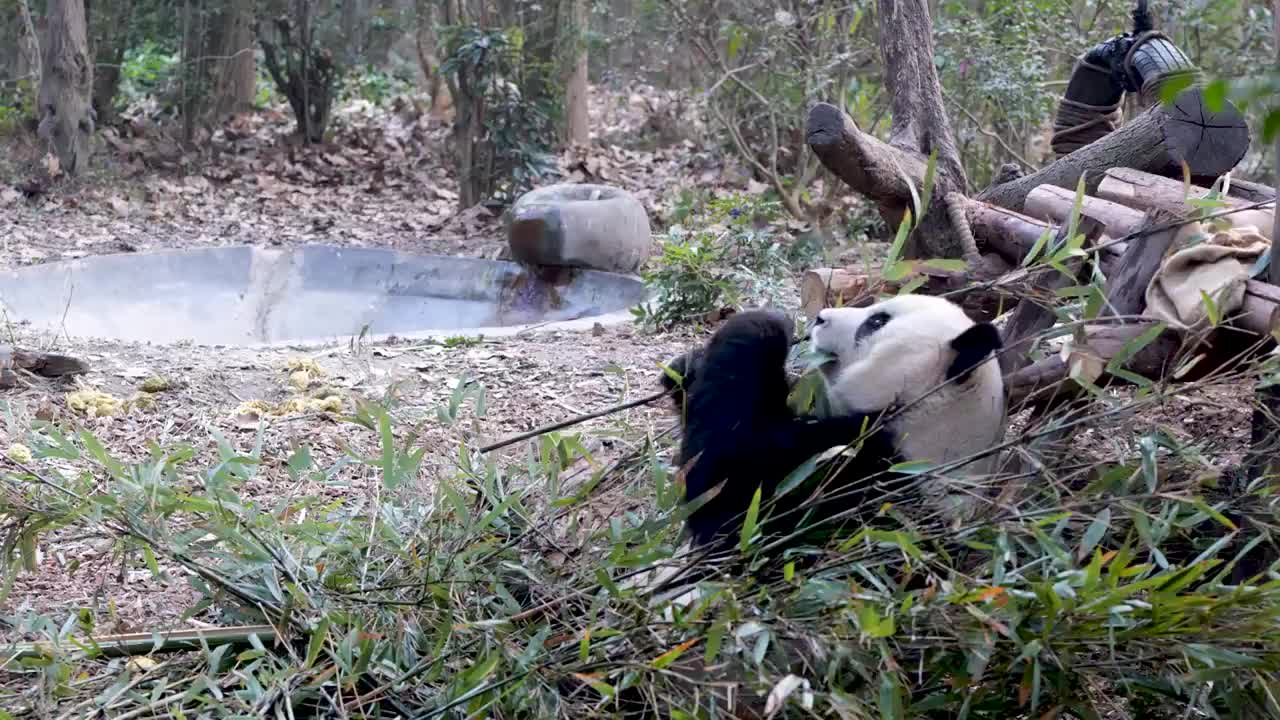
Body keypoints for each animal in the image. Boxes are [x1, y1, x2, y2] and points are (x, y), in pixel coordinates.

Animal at [660, 292, 1008, 556]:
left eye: (877, 321)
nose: (820, 317)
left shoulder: (851, 476)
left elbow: (724, 487)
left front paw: (765, 322)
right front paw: (684, 368)